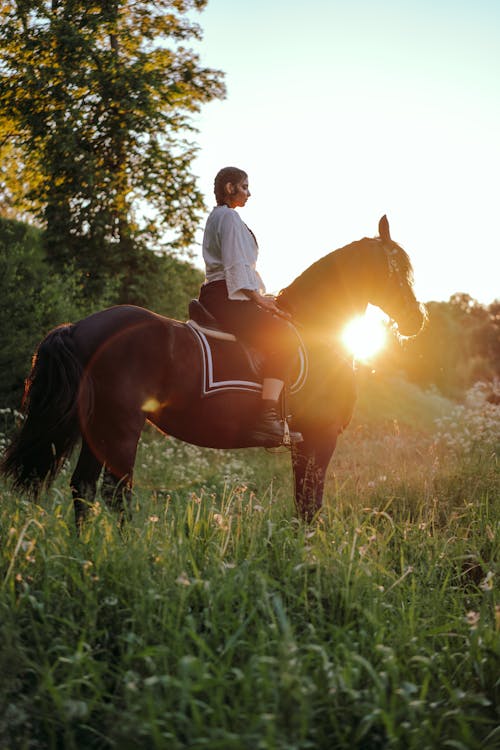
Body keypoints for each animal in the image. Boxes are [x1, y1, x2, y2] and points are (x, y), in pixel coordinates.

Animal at [0, 214, 426, 524]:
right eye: (397, 271)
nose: (417, 320)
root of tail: (80, 327)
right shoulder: (320, 437)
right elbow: (310, 506)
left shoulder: (306, 442)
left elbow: (302, 505)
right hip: (122, 426)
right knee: (114, 492)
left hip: (99, 427)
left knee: (84, 490)